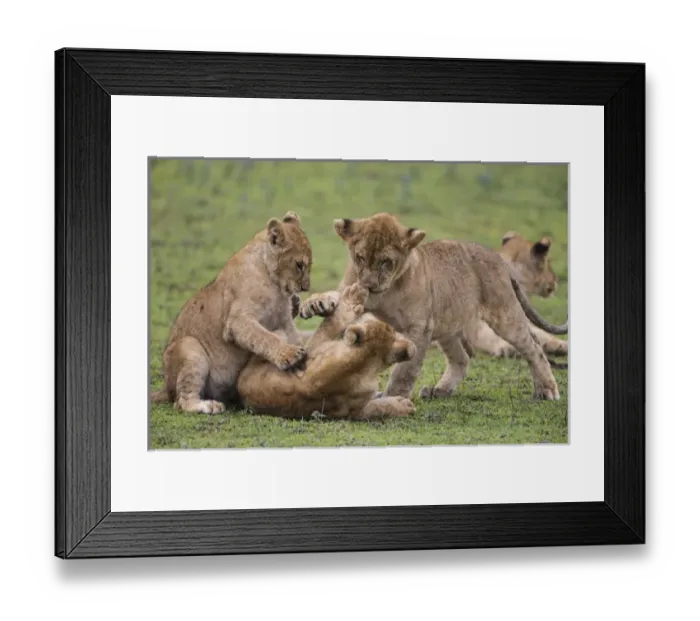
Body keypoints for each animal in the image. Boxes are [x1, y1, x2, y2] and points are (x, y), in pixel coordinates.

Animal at [150, 211, 311, 414]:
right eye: (299, 265)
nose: (306, 288)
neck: (274, 283)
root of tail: (165, 387)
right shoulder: (237, 322)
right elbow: (265, 337)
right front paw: (290, 355)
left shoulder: (284, 319)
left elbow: (292, 335)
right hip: (189, 347)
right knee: (181, 402)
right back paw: (209, 406)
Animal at [299, 212, 568, 401]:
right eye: (360, 257)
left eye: (386, 262)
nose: (369, 285)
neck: (386, 291)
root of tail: (497, 258)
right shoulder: (352, 290)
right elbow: (338, 296)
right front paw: (315, 303)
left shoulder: (419, 327)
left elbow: (405, 370)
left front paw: (393, 397)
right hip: (447, 327)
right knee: (461, 359)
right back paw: (440, 390)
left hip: (503, 314)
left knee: (533, 346)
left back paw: (546, 390)